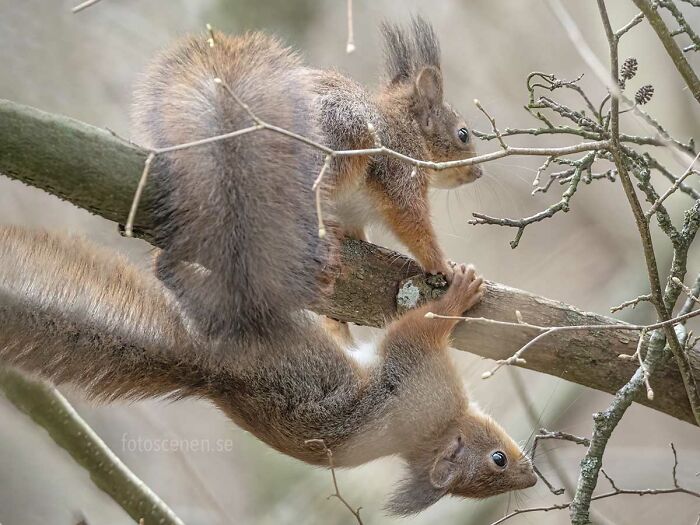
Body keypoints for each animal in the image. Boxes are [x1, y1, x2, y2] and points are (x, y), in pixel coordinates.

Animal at [0, 16, 536, 516]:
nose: (478, 171)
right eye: (463, 134)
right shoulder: (397, 168)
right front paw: (444, 267)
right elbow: (413, 225)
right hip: (340, 142)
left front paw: (342, 309)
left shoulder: (357, 213)